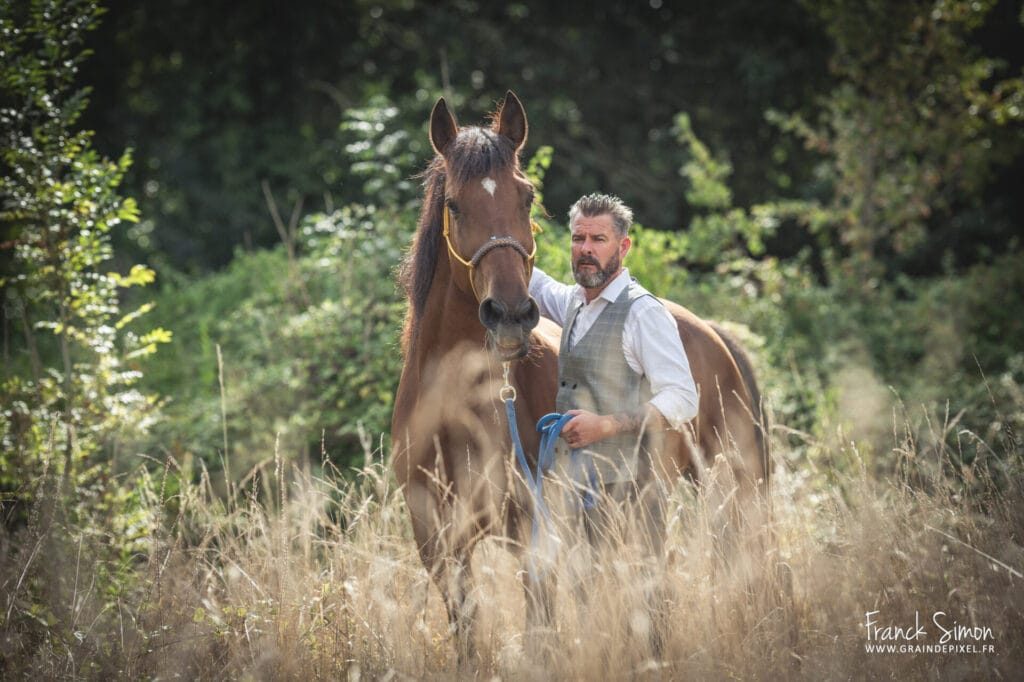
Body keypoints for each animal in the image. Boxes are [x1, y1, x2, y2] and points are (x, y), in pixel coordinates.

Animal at [391, 90, 769, 662]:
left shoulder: (534, 534)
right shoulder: (438, 544)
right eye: (454, 204)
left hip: (721, 489)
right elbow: (469, 633)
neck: (457, 406)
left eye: (526, 197)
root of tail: (710, 332)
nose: (510, 314)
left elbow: (541, 632)